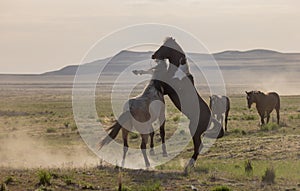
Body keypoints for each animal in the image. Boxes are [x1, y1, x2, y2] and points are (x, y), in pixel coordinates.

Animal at [151, 37, 224, 172]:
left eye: (165, 47)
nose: (153, 55)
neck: (179, 72)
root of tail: (210, 118)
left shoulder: (167, 89)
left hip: (194, 130)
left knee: (198, 146)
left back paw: (188, 165)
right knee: (199, 146)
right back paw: (190, 165)